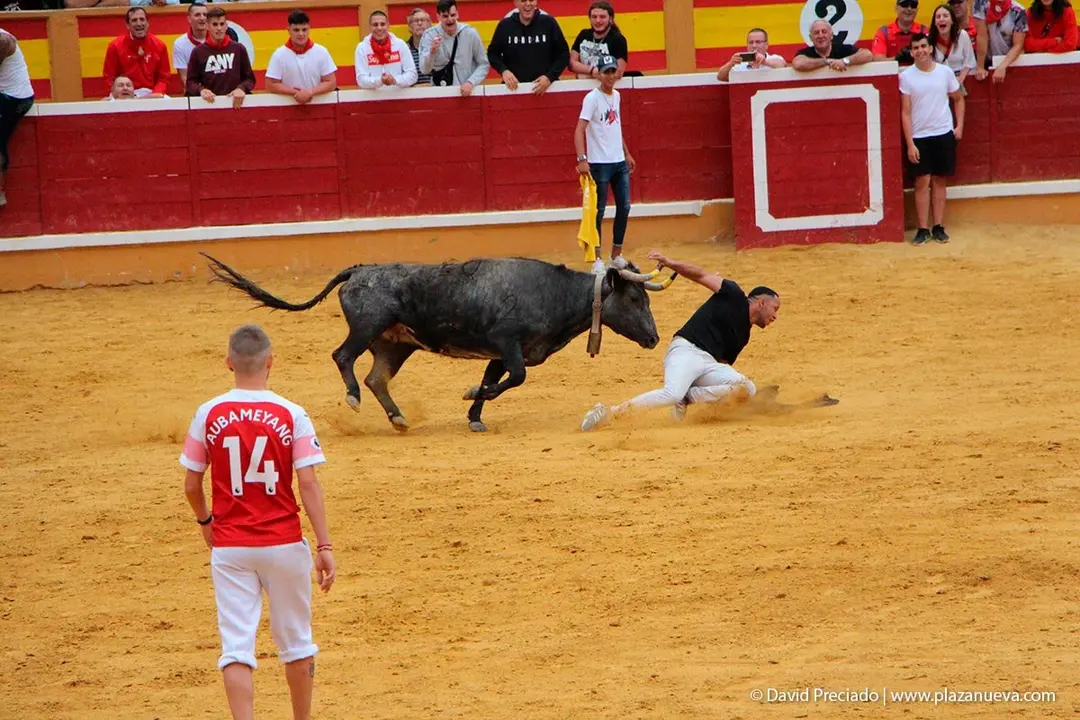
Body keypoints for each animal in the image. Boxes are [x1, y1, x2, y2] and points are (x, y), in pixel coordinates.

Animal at [202, 253, 675, 432]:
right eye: (635, 298)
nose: (654, 337)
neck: (554, 294)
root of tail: (359, 270)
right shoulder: (508, 342)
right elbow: (515, 378)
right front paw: (471, 396)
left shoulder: (499, 352)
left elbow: (497, 379)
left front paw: (474, 414)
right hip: (368, 327)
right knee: (343, 357)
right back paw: (353, 398)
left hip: (396, 344)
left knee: (377, 377)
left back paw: (397, 418)